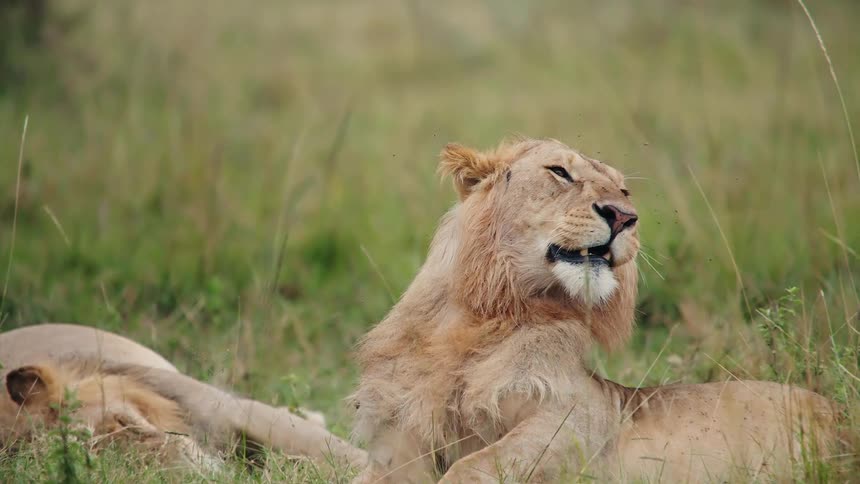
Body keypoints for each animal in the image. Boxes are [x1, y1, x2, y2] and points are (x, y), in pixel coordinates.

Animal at [351, 137, 837, 483]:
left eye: (623, 189)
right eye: (560, 172)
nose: (624, 216)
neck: (481, 316)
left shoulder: (583, 418)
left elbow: (471, 466)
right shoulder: (399, 438)